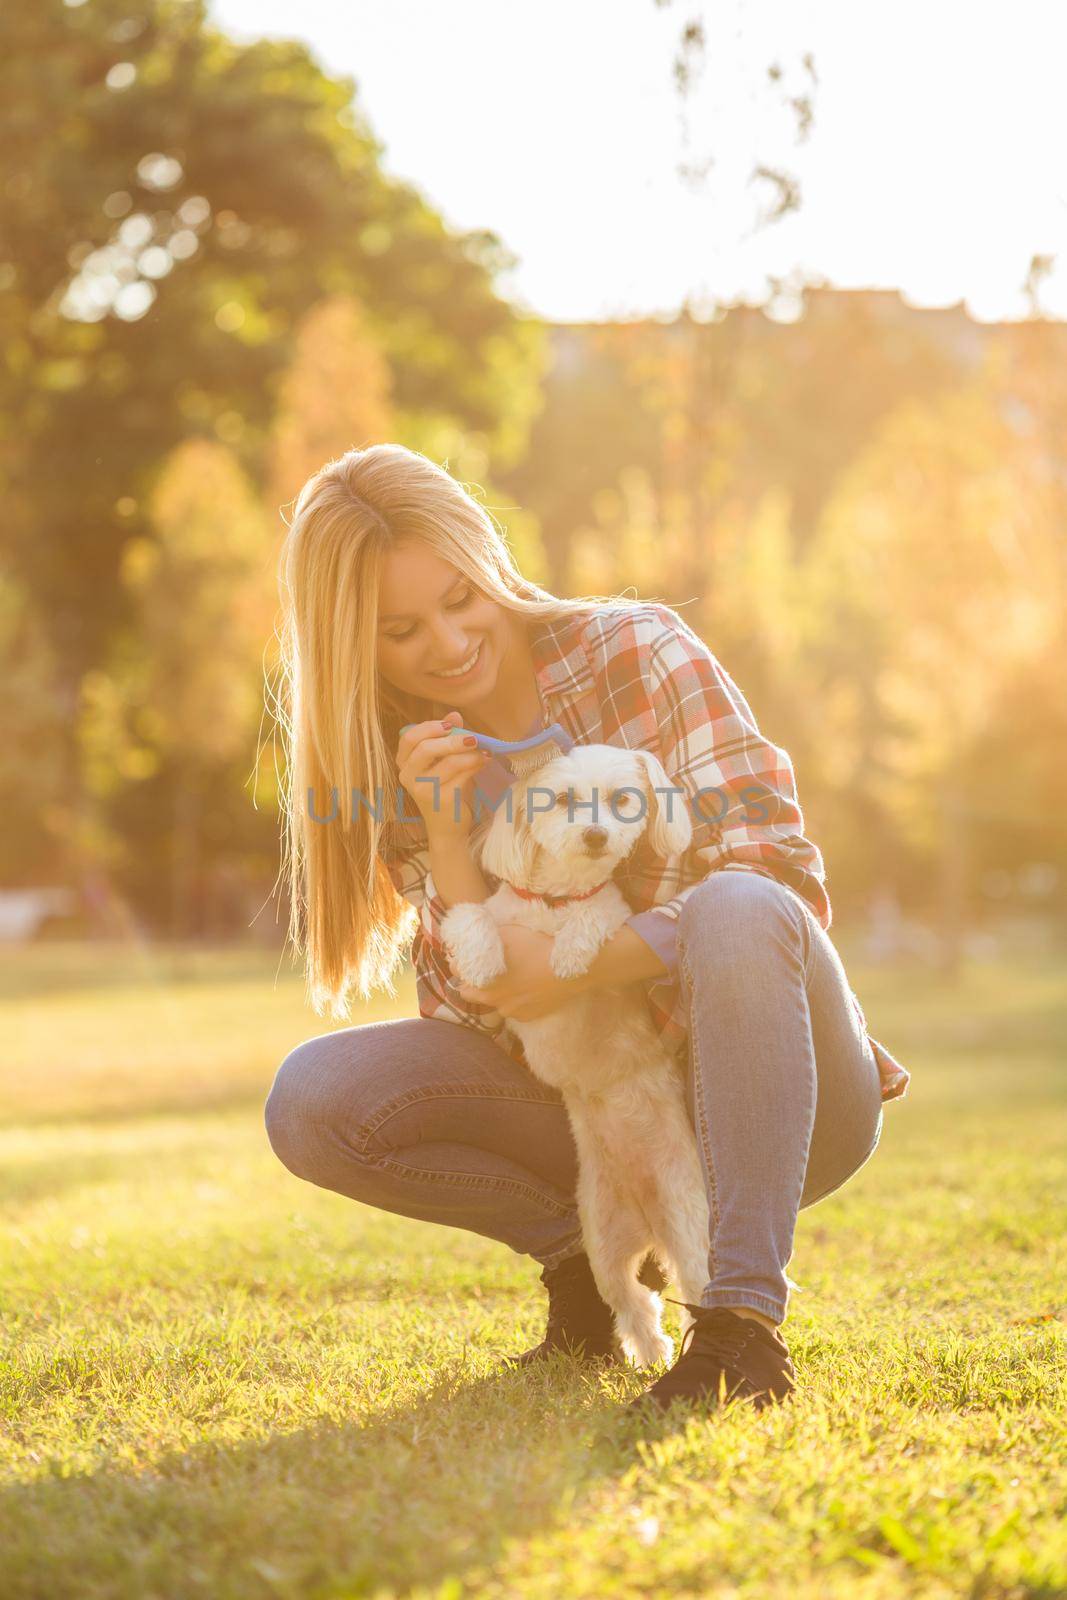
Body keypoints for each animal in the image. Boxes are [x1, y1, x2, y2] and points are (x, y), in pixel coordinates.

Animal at [438, 742, 713, 1369]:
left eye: (621, 800)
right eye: (561, 799)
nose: (594, 834)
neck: (554, 901)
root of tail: (648, 1219)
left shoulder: (612, 928)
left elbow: (601, 916)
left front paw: (569, 955)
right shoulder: (490, 943)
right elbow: (469, 915)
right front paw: (483, 958)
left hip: (688, 1222)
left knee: (695, 1286)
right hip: (603, 1240)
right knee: (635, 1300)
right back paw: (649, 1353)